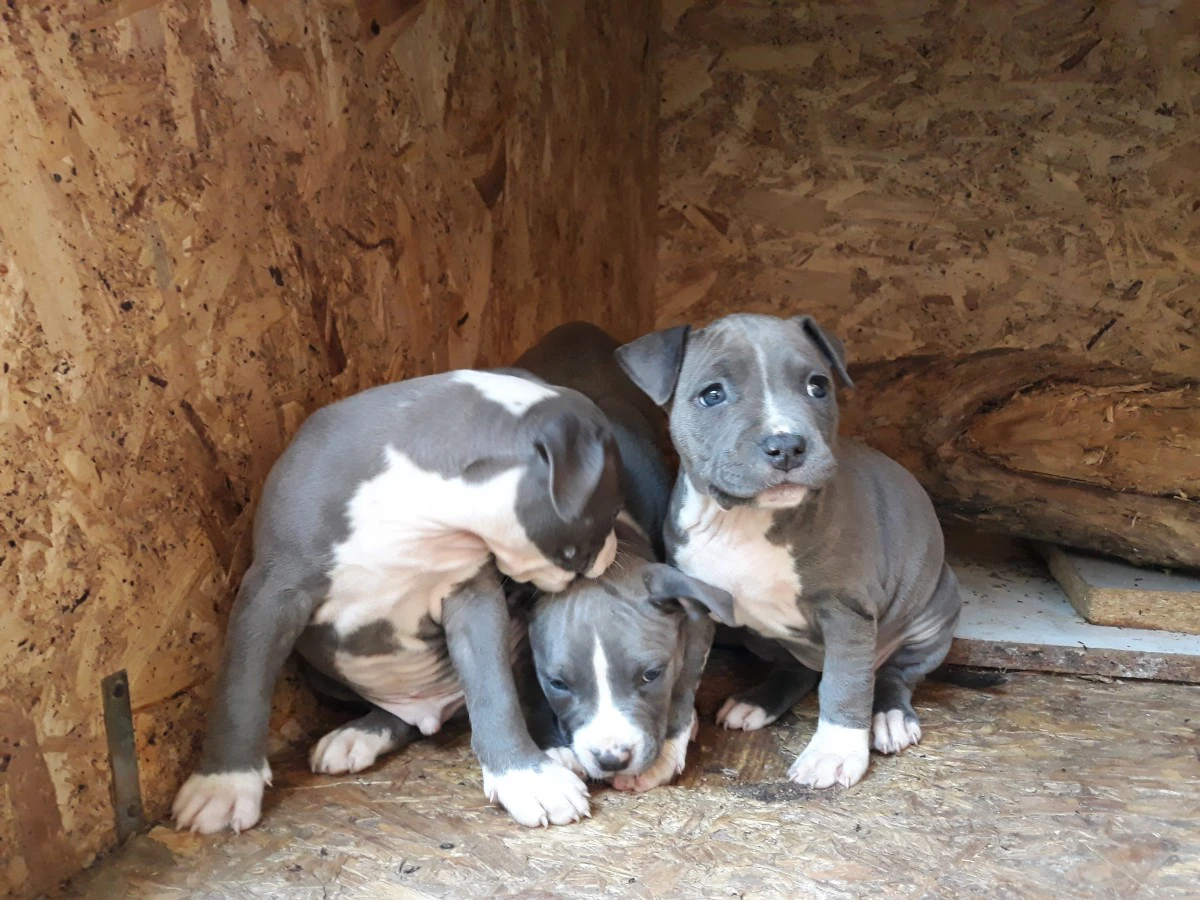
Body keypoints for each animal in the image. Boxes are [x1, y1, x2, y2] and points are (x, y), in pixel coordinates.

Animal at [174, 369, 624, 835]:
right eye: (609, 511)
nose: (612, 551)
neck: (418, 507)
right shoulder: (271, 593)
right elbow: (241, 687)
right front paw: (223, 784)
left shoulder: (472, 598)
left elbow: (494, 690)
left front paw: (526, 776)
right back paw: (357, 735)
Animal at [619, 314, 964, 787]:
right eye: (712, 394)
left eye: (818, 386)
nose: (786, 446)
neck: (744, 521)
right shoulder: (695, 609)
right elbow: (682, 682)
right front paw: (665, 750)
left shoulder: (847, 613)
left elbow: (846, 683)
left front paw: (834, 751)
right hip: (762, 636)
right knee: (797, 669)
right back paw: (757, 702)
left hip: (933, 612)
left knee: (894, 673)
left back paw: (891, 715)